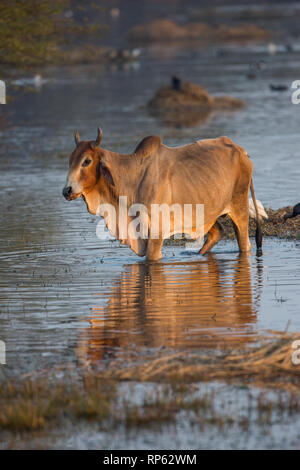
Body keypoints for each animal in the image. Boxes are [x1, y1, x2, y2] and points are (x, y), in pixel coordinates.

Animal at [63, 127, 262, 260]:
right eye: (70, 160)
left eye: (87, 161)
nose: (67, 190)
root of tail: (241, 151)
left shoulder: (156, 231)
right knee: (217, 232)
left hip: (239, 207)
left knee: (244, 243)